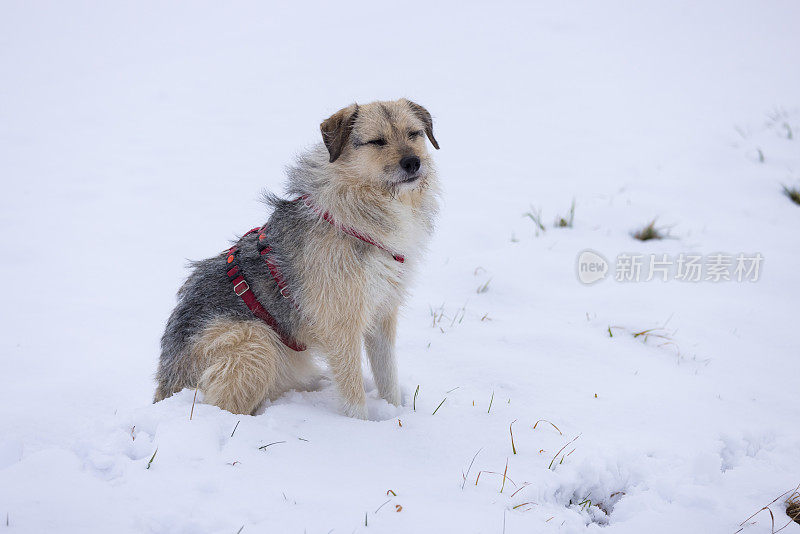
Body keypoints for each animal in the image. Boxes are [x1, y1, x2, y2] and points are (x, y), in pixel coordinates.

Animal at [153, 99, 440, 418]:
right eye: (377, 141)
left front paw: (395, 413)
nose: (413, 163)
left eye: (414, 133)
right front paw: (361, 427)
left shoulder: (382, 314)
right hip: (255, 341)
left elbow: (388, 377)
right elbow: (353, 395)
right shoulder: (341, 326)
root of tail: (165, 387)